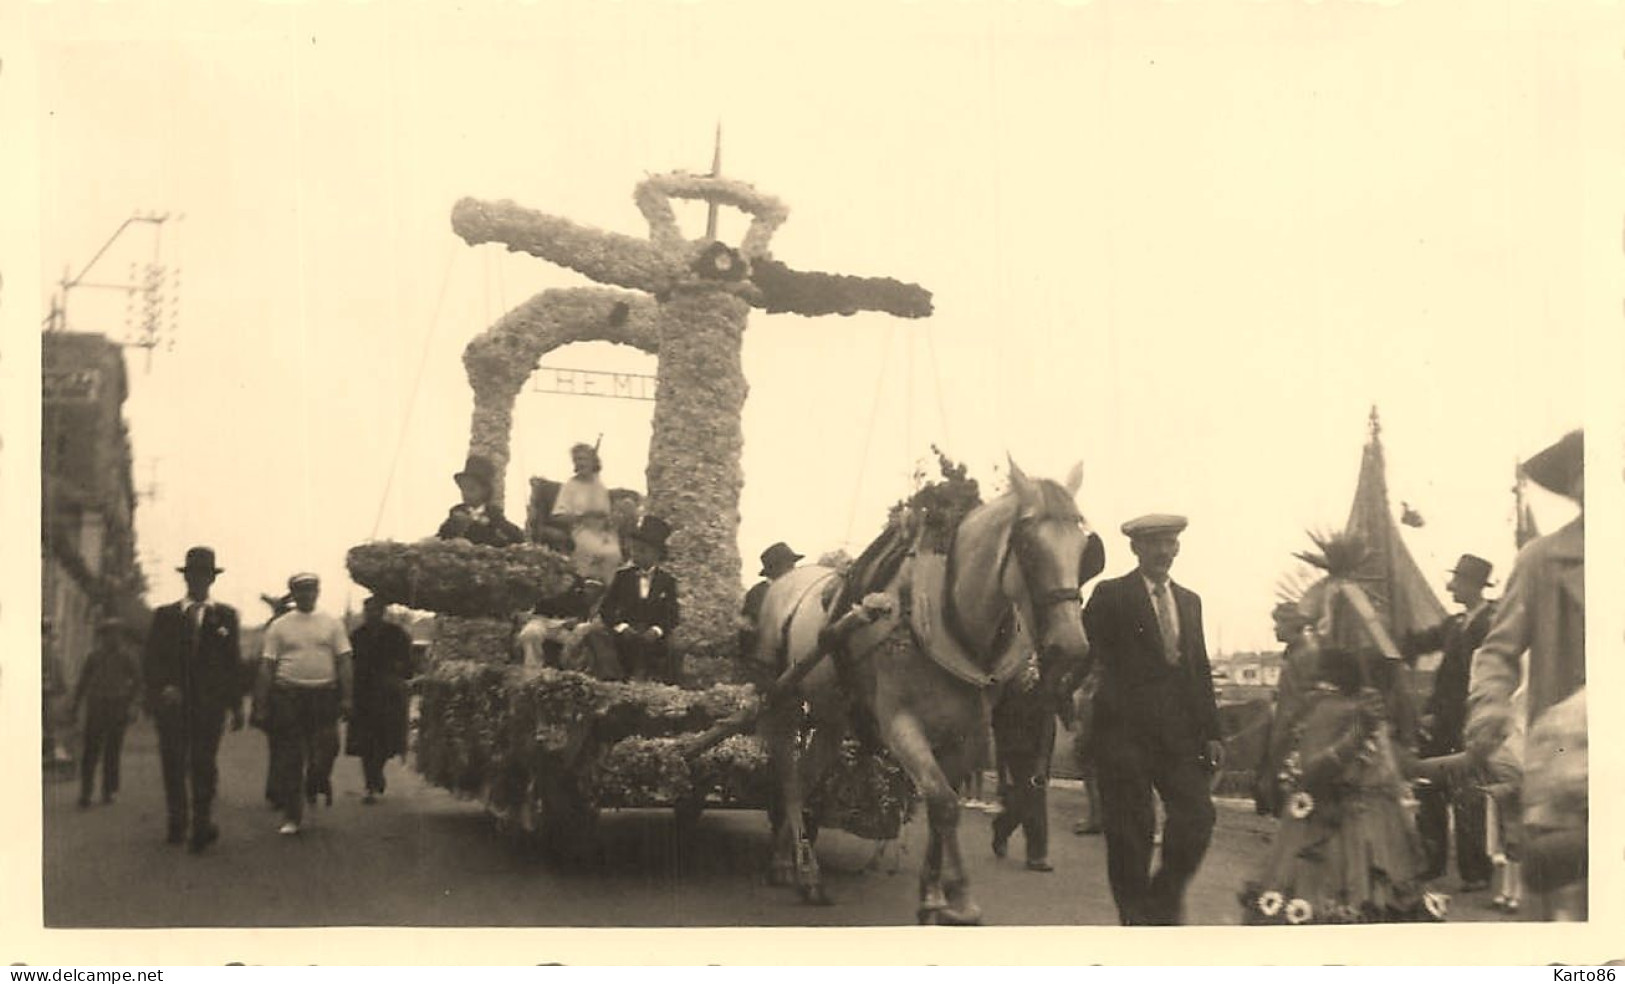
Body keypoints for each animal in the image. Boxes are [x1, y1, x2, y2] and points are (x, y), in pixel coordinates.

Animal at [757, 461, 1092, 922]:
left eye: (1082, 544)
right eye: (1026, 544)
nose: (1072, 646)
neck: (945, 617)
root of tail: (789, 580)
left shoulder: (964, 734)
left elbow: (940, 806)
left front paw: (934, 892)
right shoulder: (900, 725)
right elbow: (945, 803)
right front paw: (961, 897)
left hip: (830, 716)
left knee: (807, 775)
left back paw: (794, 866)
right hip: (784, 701)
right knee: (788, 777)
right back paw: (799, 868)